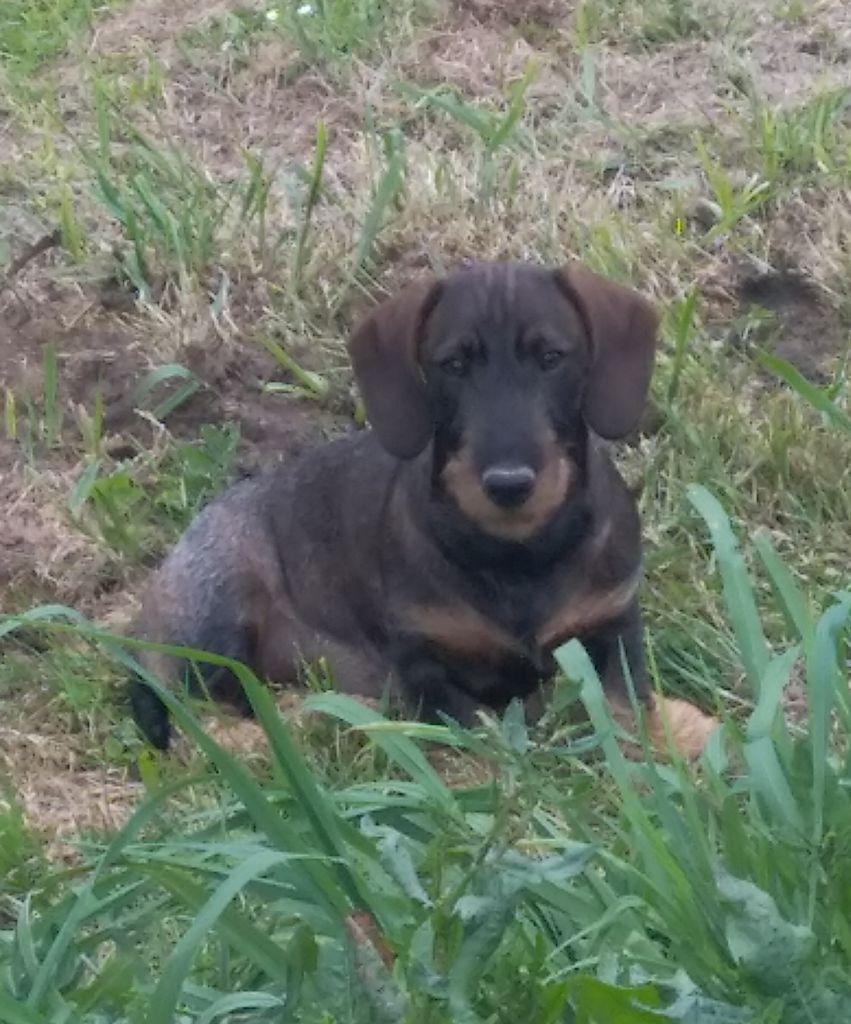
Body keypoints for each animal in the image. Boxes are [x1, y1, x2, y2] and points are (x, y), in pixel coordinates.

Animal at [130, 260, 716, 757]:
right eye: (453, 364)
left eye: (552, 357)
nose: (508, 484)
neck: (518, 556)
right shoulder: (423, 662)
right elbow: (475, 729)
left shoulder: (612, 622)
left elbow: (624, 700)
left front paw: (679, 733)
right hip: (217, 605)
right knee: (195, 711)